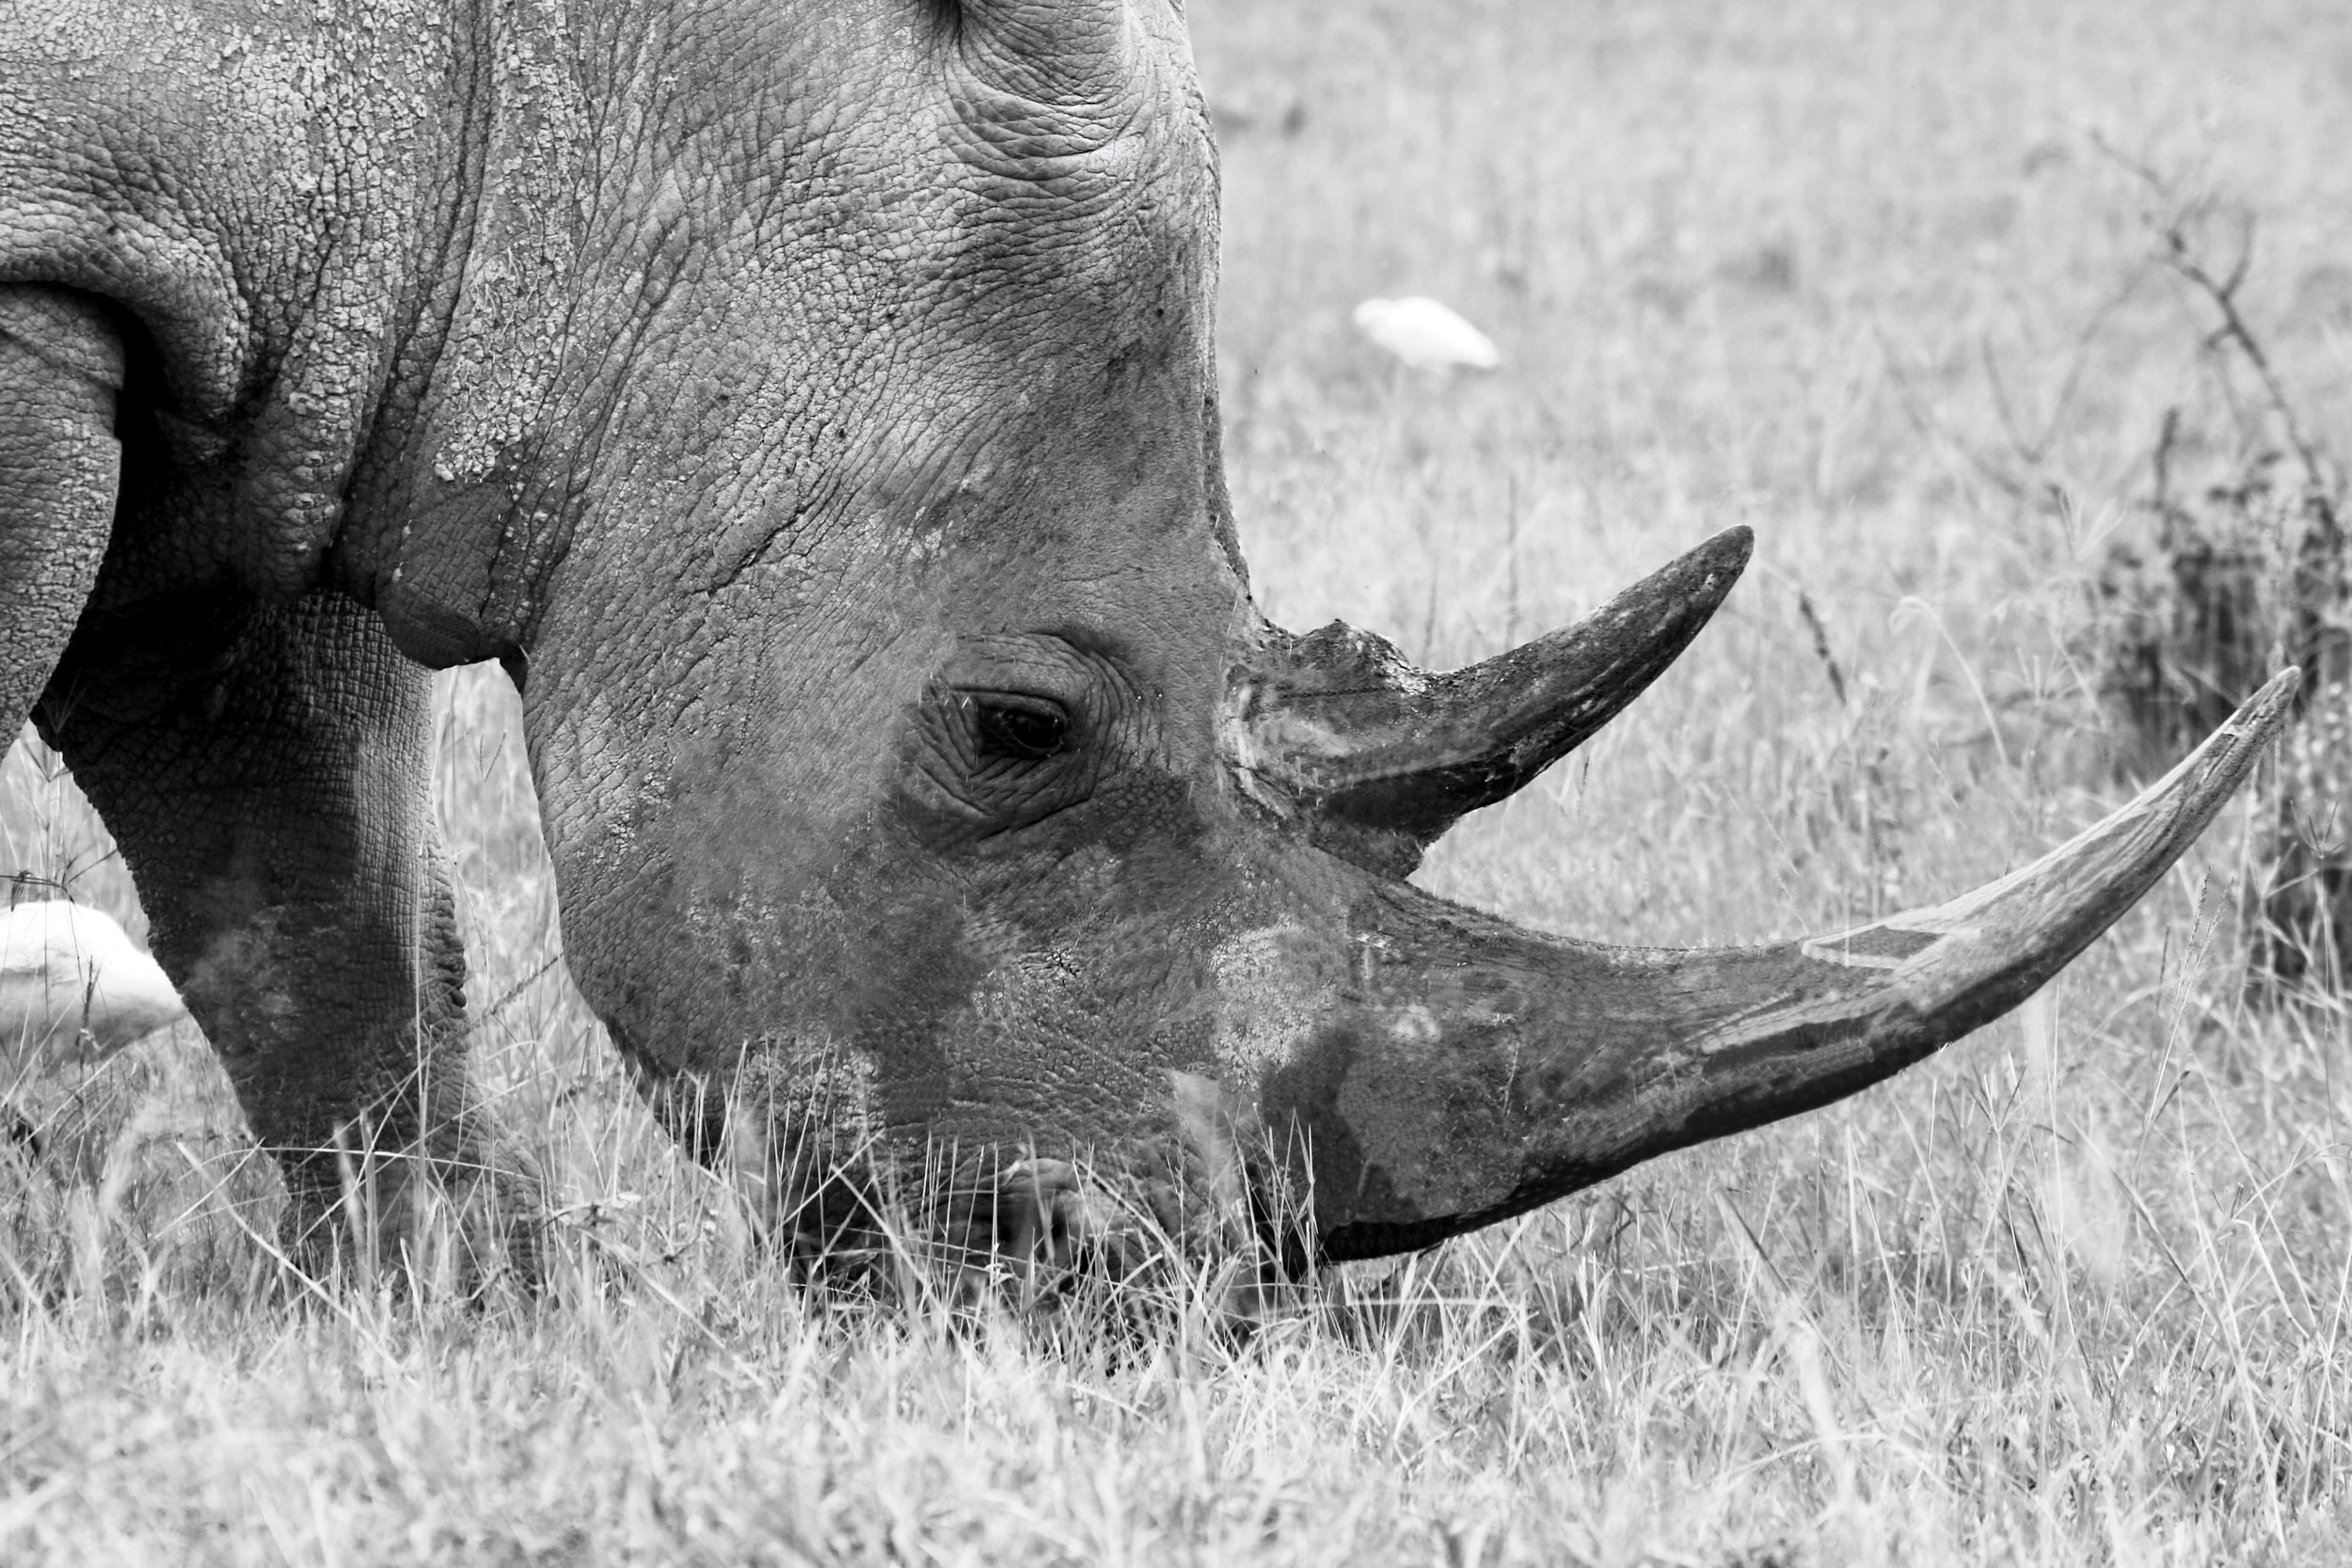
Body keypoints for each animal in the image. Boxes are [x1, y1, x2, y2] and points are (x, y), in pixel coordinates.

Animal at [0, 0, 2294, 1282]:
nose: (1110, 1283)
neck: (585, 87)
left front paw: (445, 1321)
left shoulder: (271, 336)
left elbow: (324, 919)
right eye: (1016, 728)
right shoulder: (65, 267)